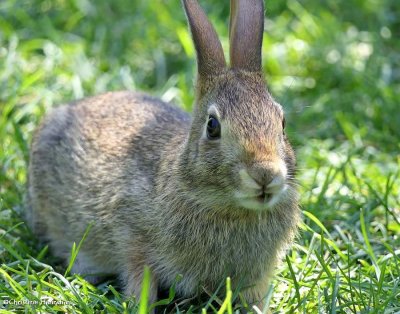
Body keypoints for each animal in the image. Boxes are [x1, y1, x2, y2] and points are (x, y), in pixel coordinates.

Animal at [27, 0, 300, 310]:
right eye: (212, 126)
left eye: (282, 122)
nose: (265, 174)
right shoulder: (134, 241)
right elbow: (140, 280)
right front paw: (138, 306)